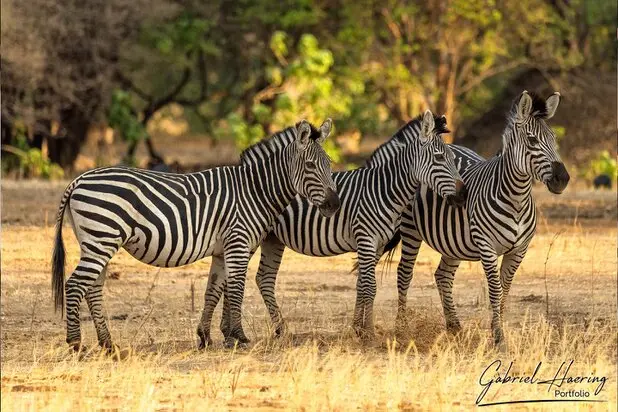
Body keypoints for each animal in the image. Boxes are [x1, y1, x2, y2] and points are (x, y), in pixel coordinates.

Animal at [51, 119, 342, 350]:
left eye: (329, 164)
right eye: (310, 166)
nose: (334, 205)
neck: (255, 191)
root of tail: (78, 179)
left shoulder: (223, 250)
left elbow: (213, 290)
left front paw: (207, 337)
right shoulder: (238, 242)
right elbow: (236, 289)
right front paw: (239, 337)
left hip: (96, 242)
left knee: (93, 288)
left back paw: (108, 344)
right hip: (101, 239)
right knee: (75, 285)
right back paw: (76, 344)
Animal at [203, 109, 466, 342]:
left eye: (453, 158)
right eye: (440, 158)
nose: (462, 196)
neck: (382, 189)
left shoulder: (376, 244)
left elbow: (362, 283)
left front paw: (358, 329)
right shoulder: (366, 238)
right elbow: (370, 286)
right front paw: (369, 334)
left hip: (271, 239)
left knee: (263, 278)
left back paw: (278, 330)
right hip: (250, 237)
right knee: (233, 278)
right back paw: (229, 332)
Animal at [376, 91, 568, 346]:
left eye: (554, 138)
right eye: (532, 140)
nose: (562, 179)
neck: (516, 199)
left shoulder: (520, 249)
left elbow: (506, 289)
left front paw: (499, 328)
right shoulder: (487, 246)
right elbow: (495, 289)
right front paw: (498, 337)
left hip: (452, 240)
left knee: (443, 276)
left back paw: (454, 327)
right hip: (410, 230)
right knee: (404, 273)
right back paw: (402, 328)